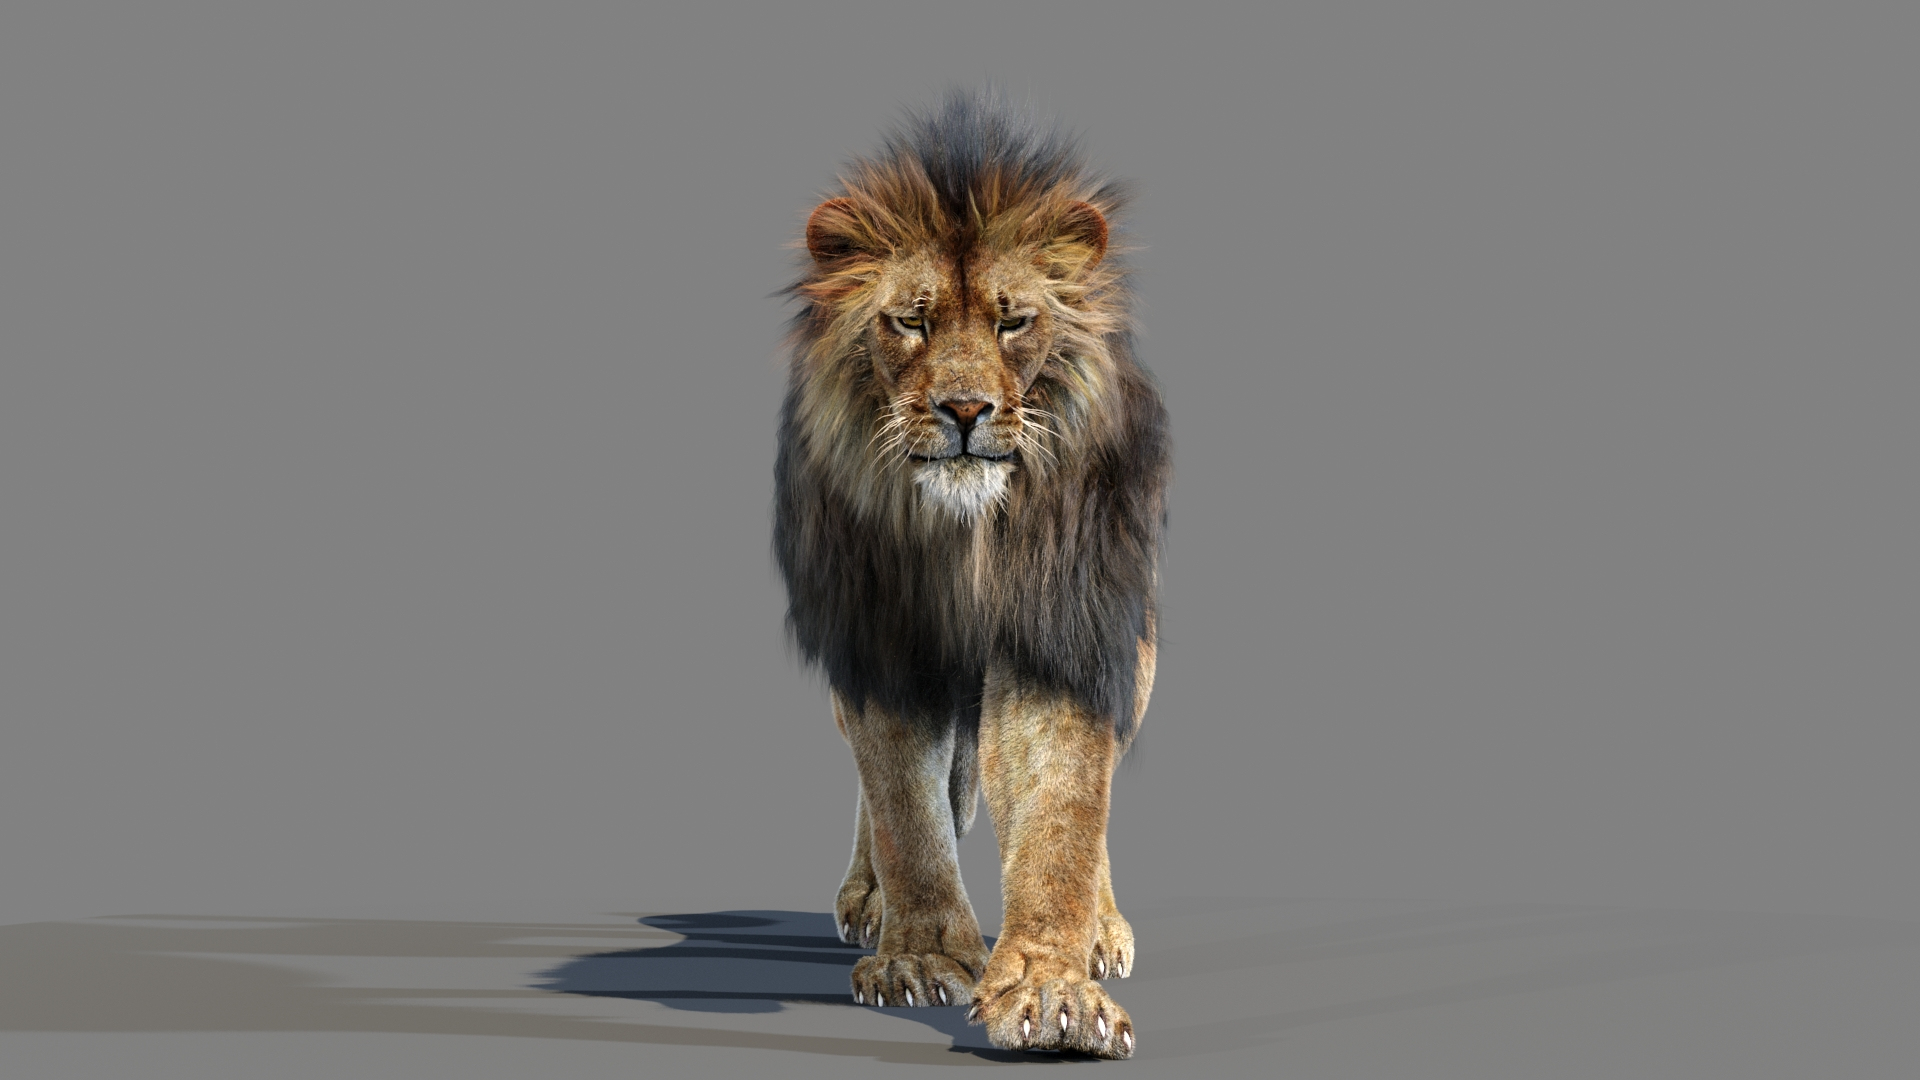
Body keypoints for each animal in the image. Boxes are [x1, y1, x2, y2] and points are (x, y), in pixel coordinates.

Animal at [773, 91, 1168, 1058]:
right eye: (911, 321)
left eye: (1011, 321)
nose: (963, 409)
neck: (964, 541)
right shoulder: (877, 638)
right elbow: (904, 807)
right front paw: (918, 954)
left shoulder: (1060, 632)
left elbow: (1064, 806)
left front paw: (1054, 990)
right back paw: (868, 899)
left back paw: (1101, 929)